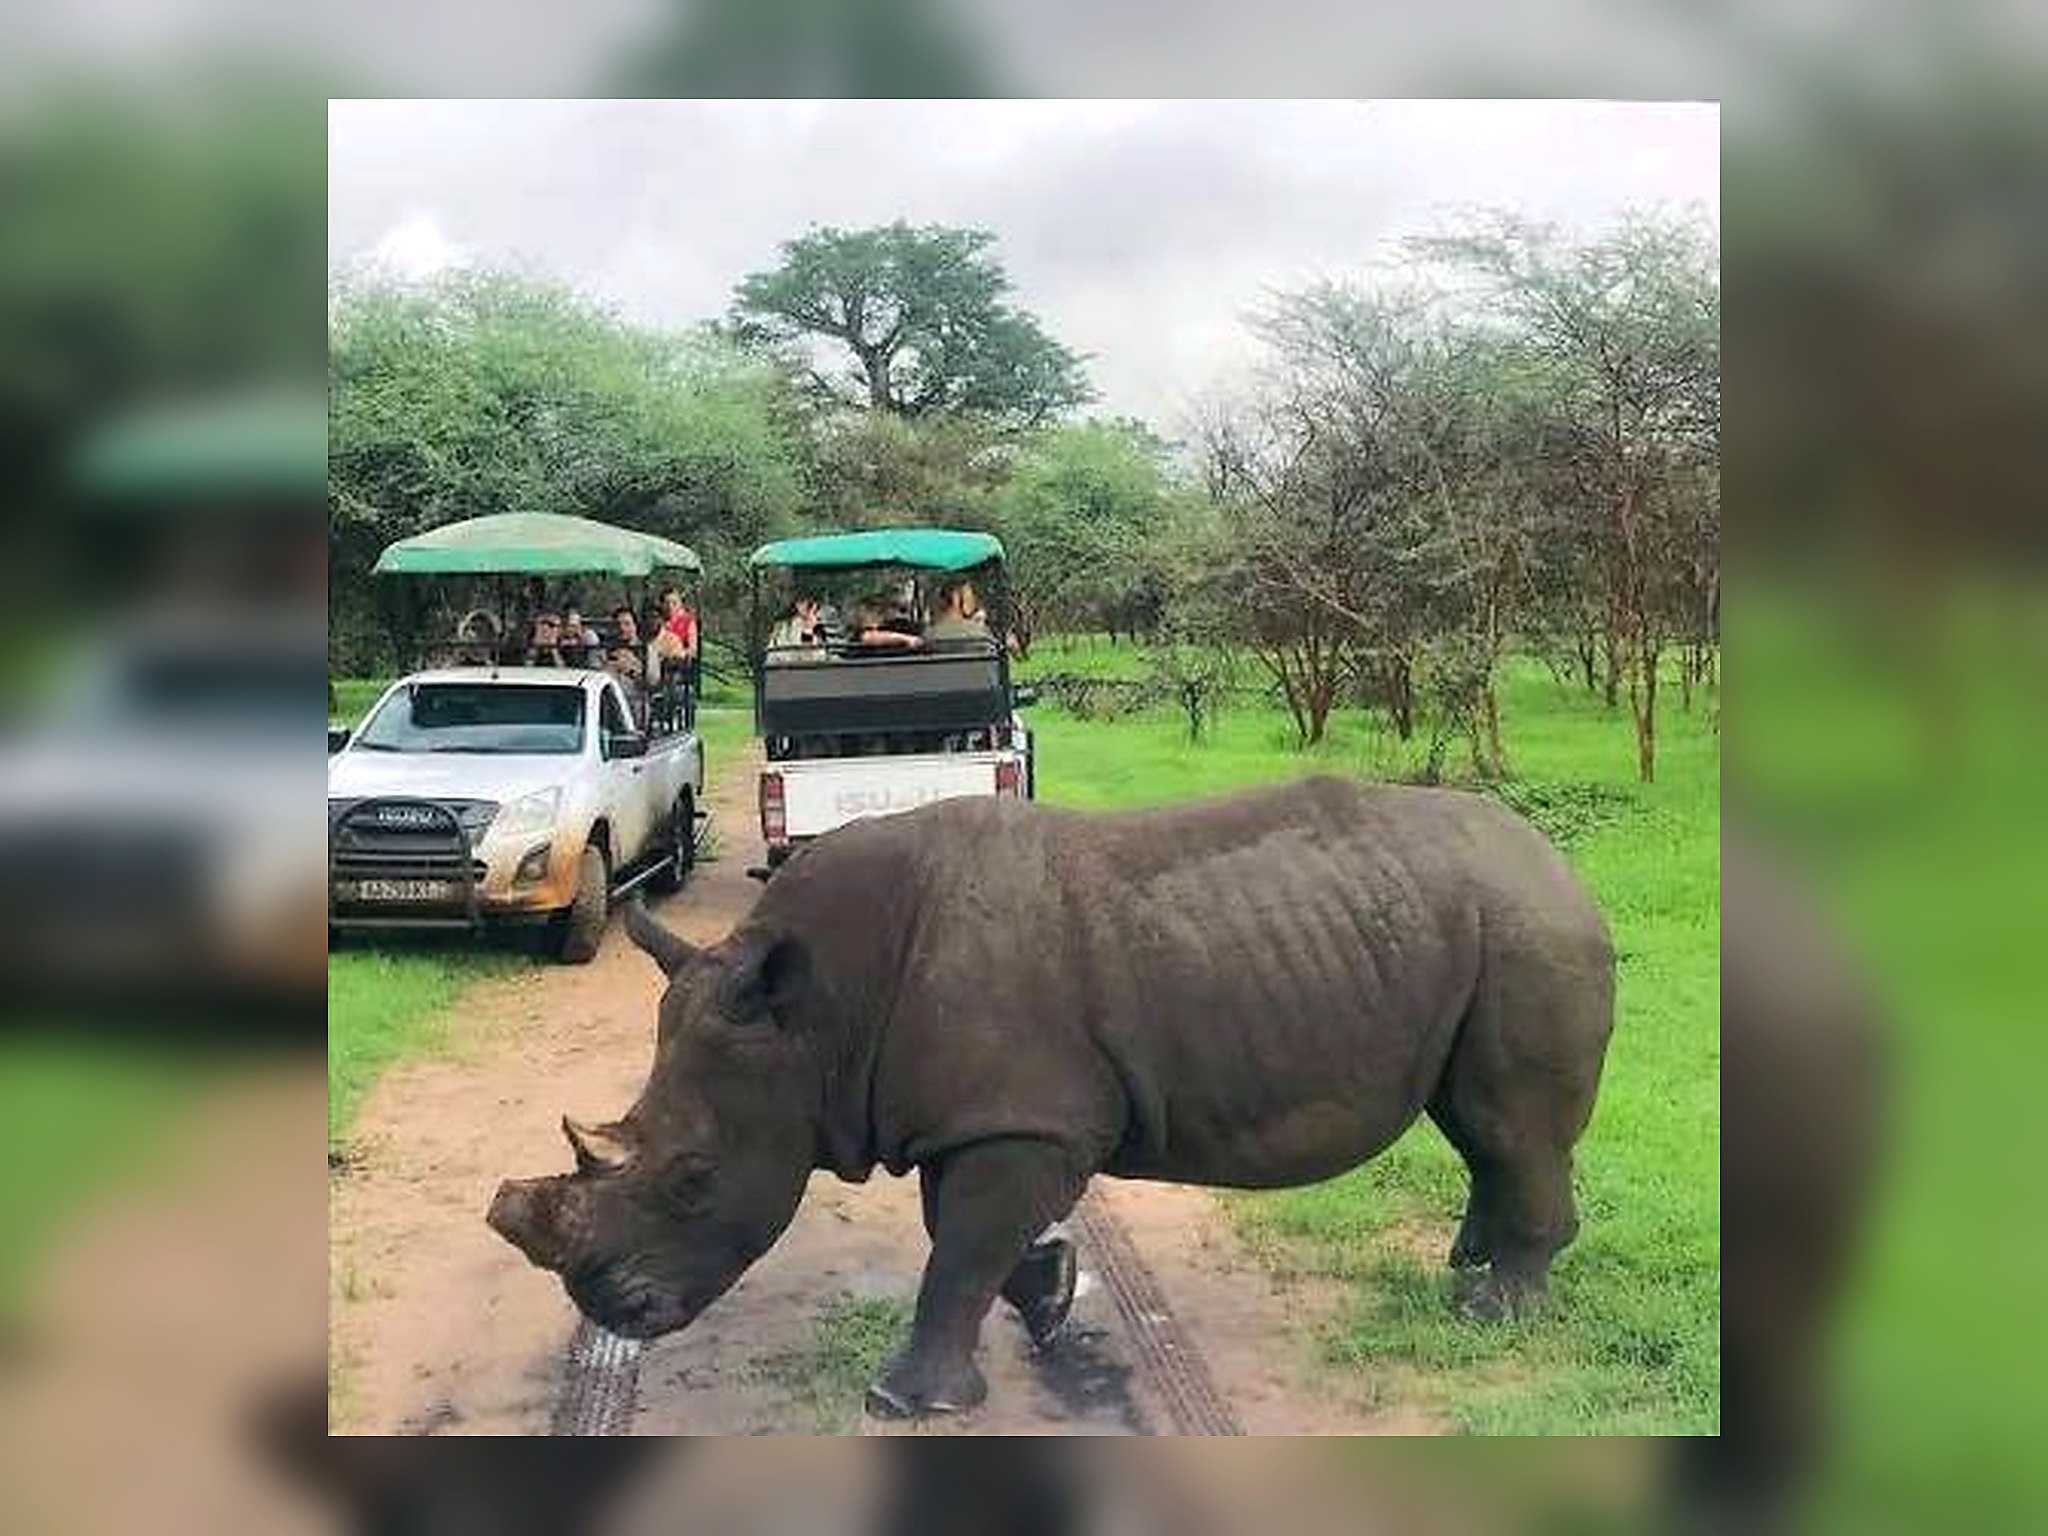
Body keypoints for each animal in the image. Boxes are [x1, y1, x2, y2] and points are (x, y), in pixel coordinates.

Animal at [487, 776, 1616, 1418]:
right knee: (1478, 1126)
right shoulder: (977, 1113)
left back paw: (1493, 1312)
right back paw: (1468, 1267)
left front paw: (905, 1402)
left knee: (1509, 1125)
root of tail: (1559, 863)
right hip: (1482, 928)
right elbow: (961, 1236)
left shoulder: (1019, 1120)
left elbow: (957, 1251)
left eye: (692, 1178)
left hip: (1528, 933)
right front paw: (1052, 1293)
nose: (610, 1311)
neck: (816, 1020)